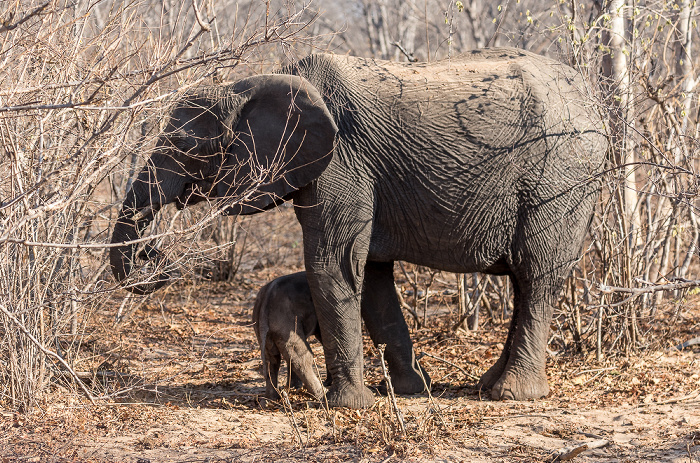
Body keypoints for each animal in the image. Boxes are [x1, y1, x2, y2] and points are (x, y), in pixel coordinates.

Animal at [252, 272, 328, 402]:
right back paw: (322, 394)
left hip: (262, 327)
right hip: (285, 322)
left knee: (272, 358)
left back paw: (272, 398)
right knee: (300, 356)